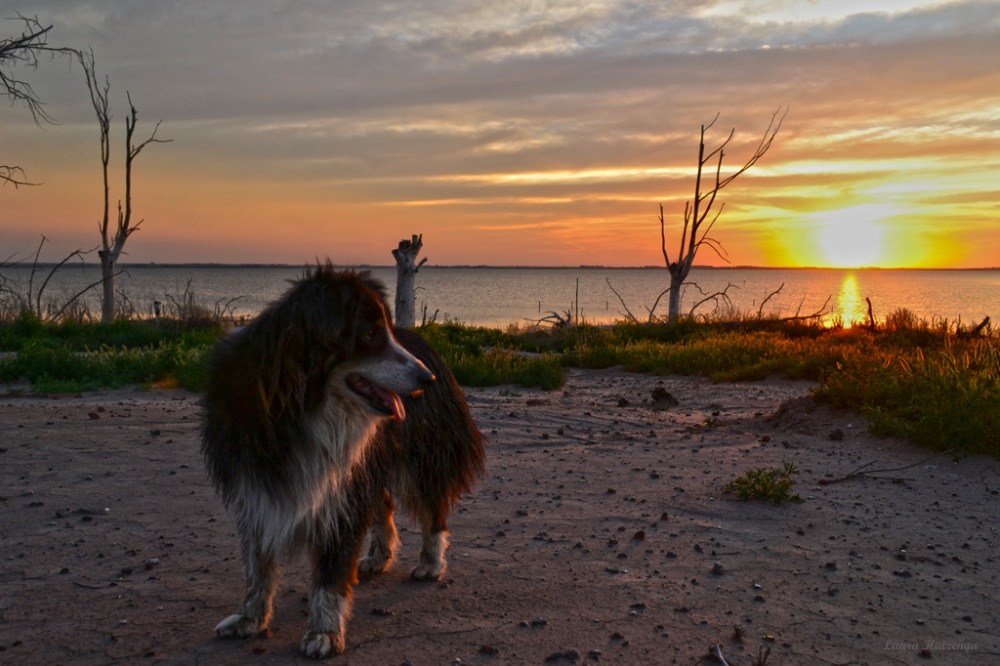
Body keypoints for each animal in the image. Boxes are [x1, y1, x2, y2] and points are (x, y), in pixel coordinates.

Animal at [202, 264, 484, 652]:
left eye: (385, 330)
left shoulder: (340, 487)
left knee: (432, 508)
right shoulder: (256, 484)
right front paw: (250, 619)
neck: (300, 405)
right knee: (384, 505)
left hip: (420, 454)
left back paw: (430, 562)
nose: (427, 378)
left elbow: (331, 568)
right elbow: (257, 565)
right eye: (369, 333)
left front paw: (324, 632)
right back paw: (378, 556)